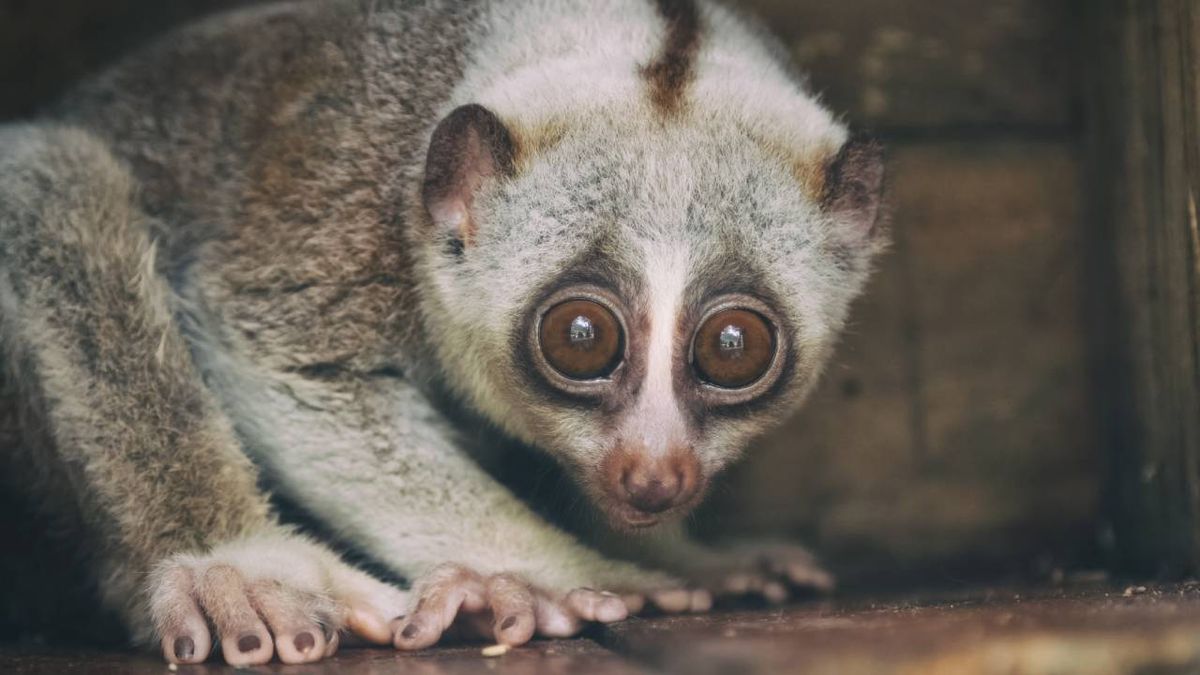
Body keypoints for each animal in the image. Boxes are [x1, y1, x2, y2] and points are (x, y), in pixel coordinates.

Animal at [0, 0, 886, 666]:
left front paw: (690, 555)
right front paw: (571, 571)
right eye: (581, 337)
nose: (654, 474)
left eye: (734, 349)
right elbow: (288, 372)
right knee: (49, 176)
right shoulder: (340, 197)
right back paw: (239, 569)